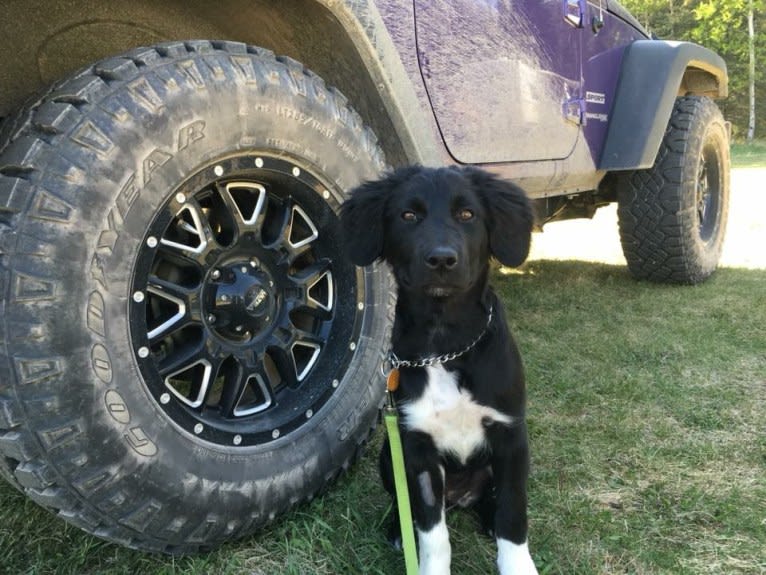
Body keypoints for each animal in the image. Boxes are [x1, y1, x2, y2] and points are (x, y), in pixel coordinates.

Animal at [342, 164, 540, 572]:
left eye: (466, 214)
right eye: (408, 215)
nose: (442, 260)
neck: (444, 344)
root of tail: (459, 497)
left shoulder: (511, 436)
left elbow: (513, 515)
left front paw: (517, 564)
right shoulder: (418, 449)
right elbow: (433, 533)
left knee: (493, 503)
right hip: (390, 456)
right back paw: (397, 530)